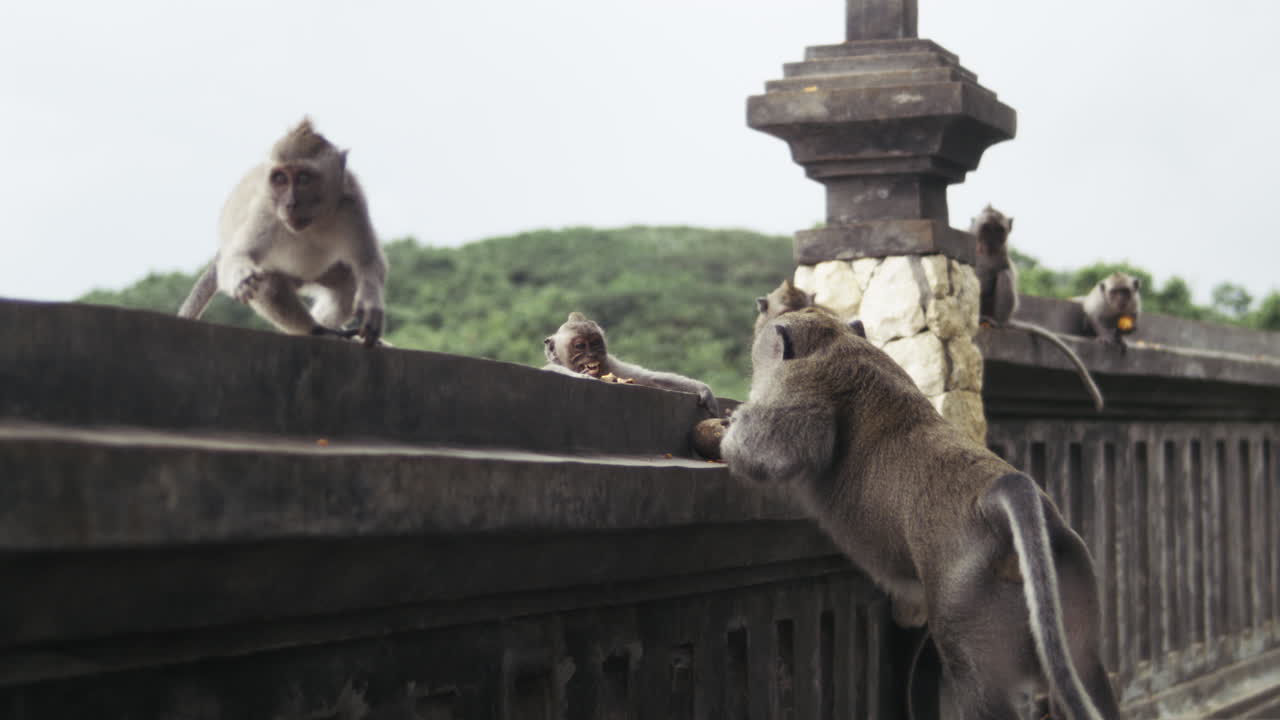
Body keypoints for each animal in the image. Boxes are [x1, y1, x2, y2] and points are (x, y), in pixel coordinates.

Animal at [177, 118, 387, 347]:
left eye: (304, 178)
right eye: (280, 179)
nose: (290, 204)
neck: (313, 222)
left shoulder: (352, 202)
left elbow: (366, 262)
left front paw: (371, 303)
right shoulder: (266, 210)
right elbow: (241, 256)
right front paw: (242, 276)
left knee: (347, 285)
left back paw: (328, 326)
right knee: (269, 284)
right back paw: (317, 331)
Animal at [542, 312, 722, 417]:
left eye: (595, 344)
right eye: (580, 346)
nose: (592, 354)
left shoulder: (612, 366)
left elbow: (647, 378)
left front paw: (702, 388)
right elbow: (551, 369)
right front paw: (585, 377)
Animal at [722, 308, 1119, 720]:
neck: (834, 340)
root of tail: (993, 497)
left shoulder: (798, 386)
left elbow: (770, 453)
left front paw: (728, 426)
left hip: (965, 594)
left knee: (975, 681)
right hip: (1067, 566)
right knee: (1086, 667)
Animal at [972, 205, 1105, 412]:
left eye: (998, 230)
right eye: (986, 228)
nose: (992, 241)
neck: (986, 250)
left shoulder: (1001, 256)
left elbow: (999, 275)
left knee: (1004, 276)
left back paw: (996, 322)